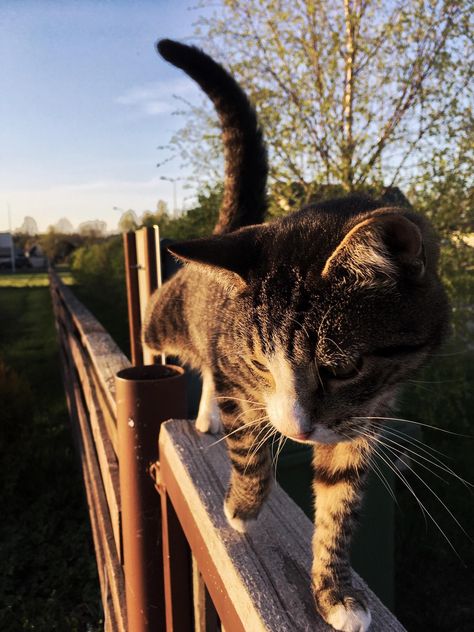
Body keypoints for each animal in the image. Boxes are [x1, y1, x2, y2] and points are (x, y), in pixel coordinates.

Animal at [143, 40, 448, 632]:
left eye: (343, 368)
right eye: (262, 364)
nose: (299, 431)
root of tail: (226, 233)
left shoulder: (365, 410)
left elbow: (340, 498)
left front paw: (335, 593)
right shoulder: (237, 369)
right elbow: (248, 445)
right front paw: (242, 508)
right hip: (166, 317)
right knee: (155, 336)